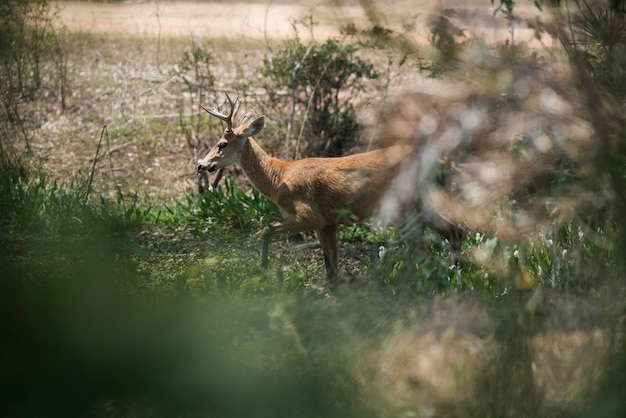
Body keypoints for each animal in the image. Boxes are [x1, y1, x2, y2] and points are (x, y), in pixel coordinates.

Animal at [197, 94, 460, 284]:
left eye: (222, 144)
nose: (201, 165)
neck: (279, 176)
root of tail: (446, 163)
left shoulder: (309, 214)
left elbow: (266, 229)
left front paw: (262, 270)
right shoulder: (327, 221)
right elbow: (330, 266)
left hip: (405, 205)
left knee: (424, 245)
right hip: (422, 204)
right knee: (453, 232)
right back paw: (455, 275)